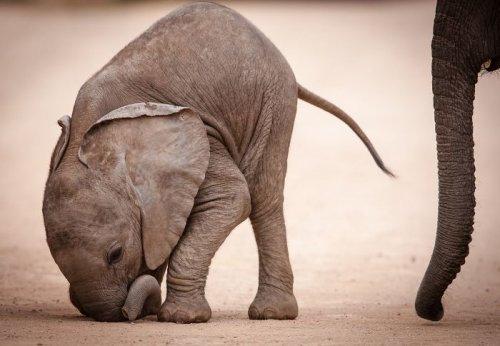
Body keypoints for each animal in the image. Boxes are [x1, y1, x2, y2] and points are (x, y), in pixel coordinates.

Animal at [44, 1, 390, 324]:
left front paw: (181, 318)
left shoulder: (202, 136)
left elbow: (233, 197)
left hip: (273, 103)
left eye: (115, 255)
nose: (125, 313)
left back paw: (271, 314)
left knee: (263, 197)